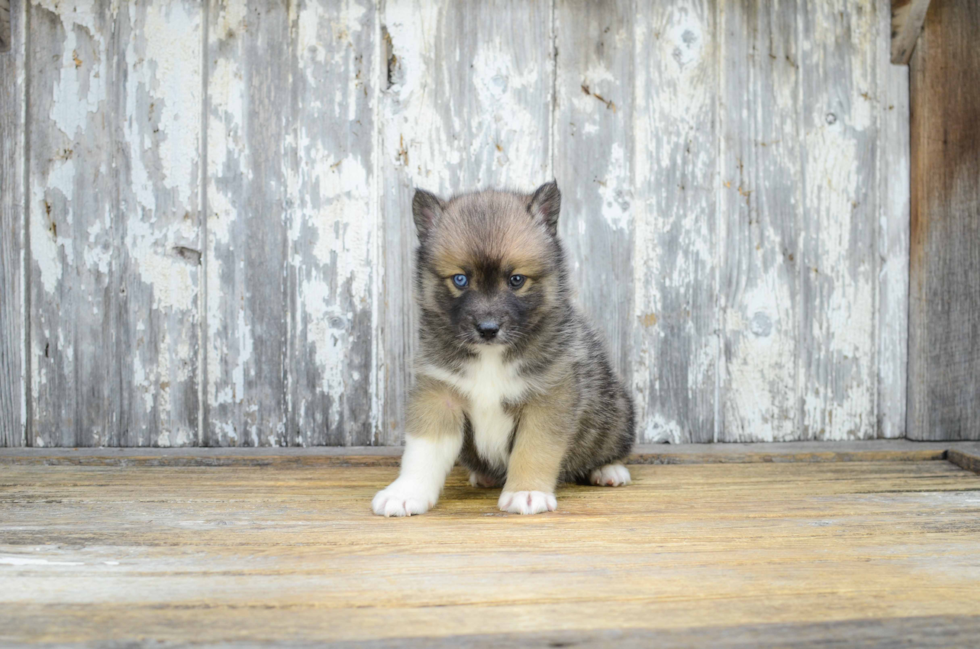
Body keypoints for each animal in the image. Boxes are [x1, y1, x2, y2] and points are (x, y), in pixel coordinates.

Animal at [374, 182, 636, 516]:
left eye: (516, 280)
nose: (487, 329)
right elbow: (422, 450)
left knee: (612, 448)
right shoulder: (439, 394)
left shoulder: (548, 399)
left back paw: (608, 470)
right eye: (460, 279)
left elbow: (534, 449)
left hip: (617, 413)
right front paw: (406, 492)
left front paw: (527, 491)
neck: (491, 357)